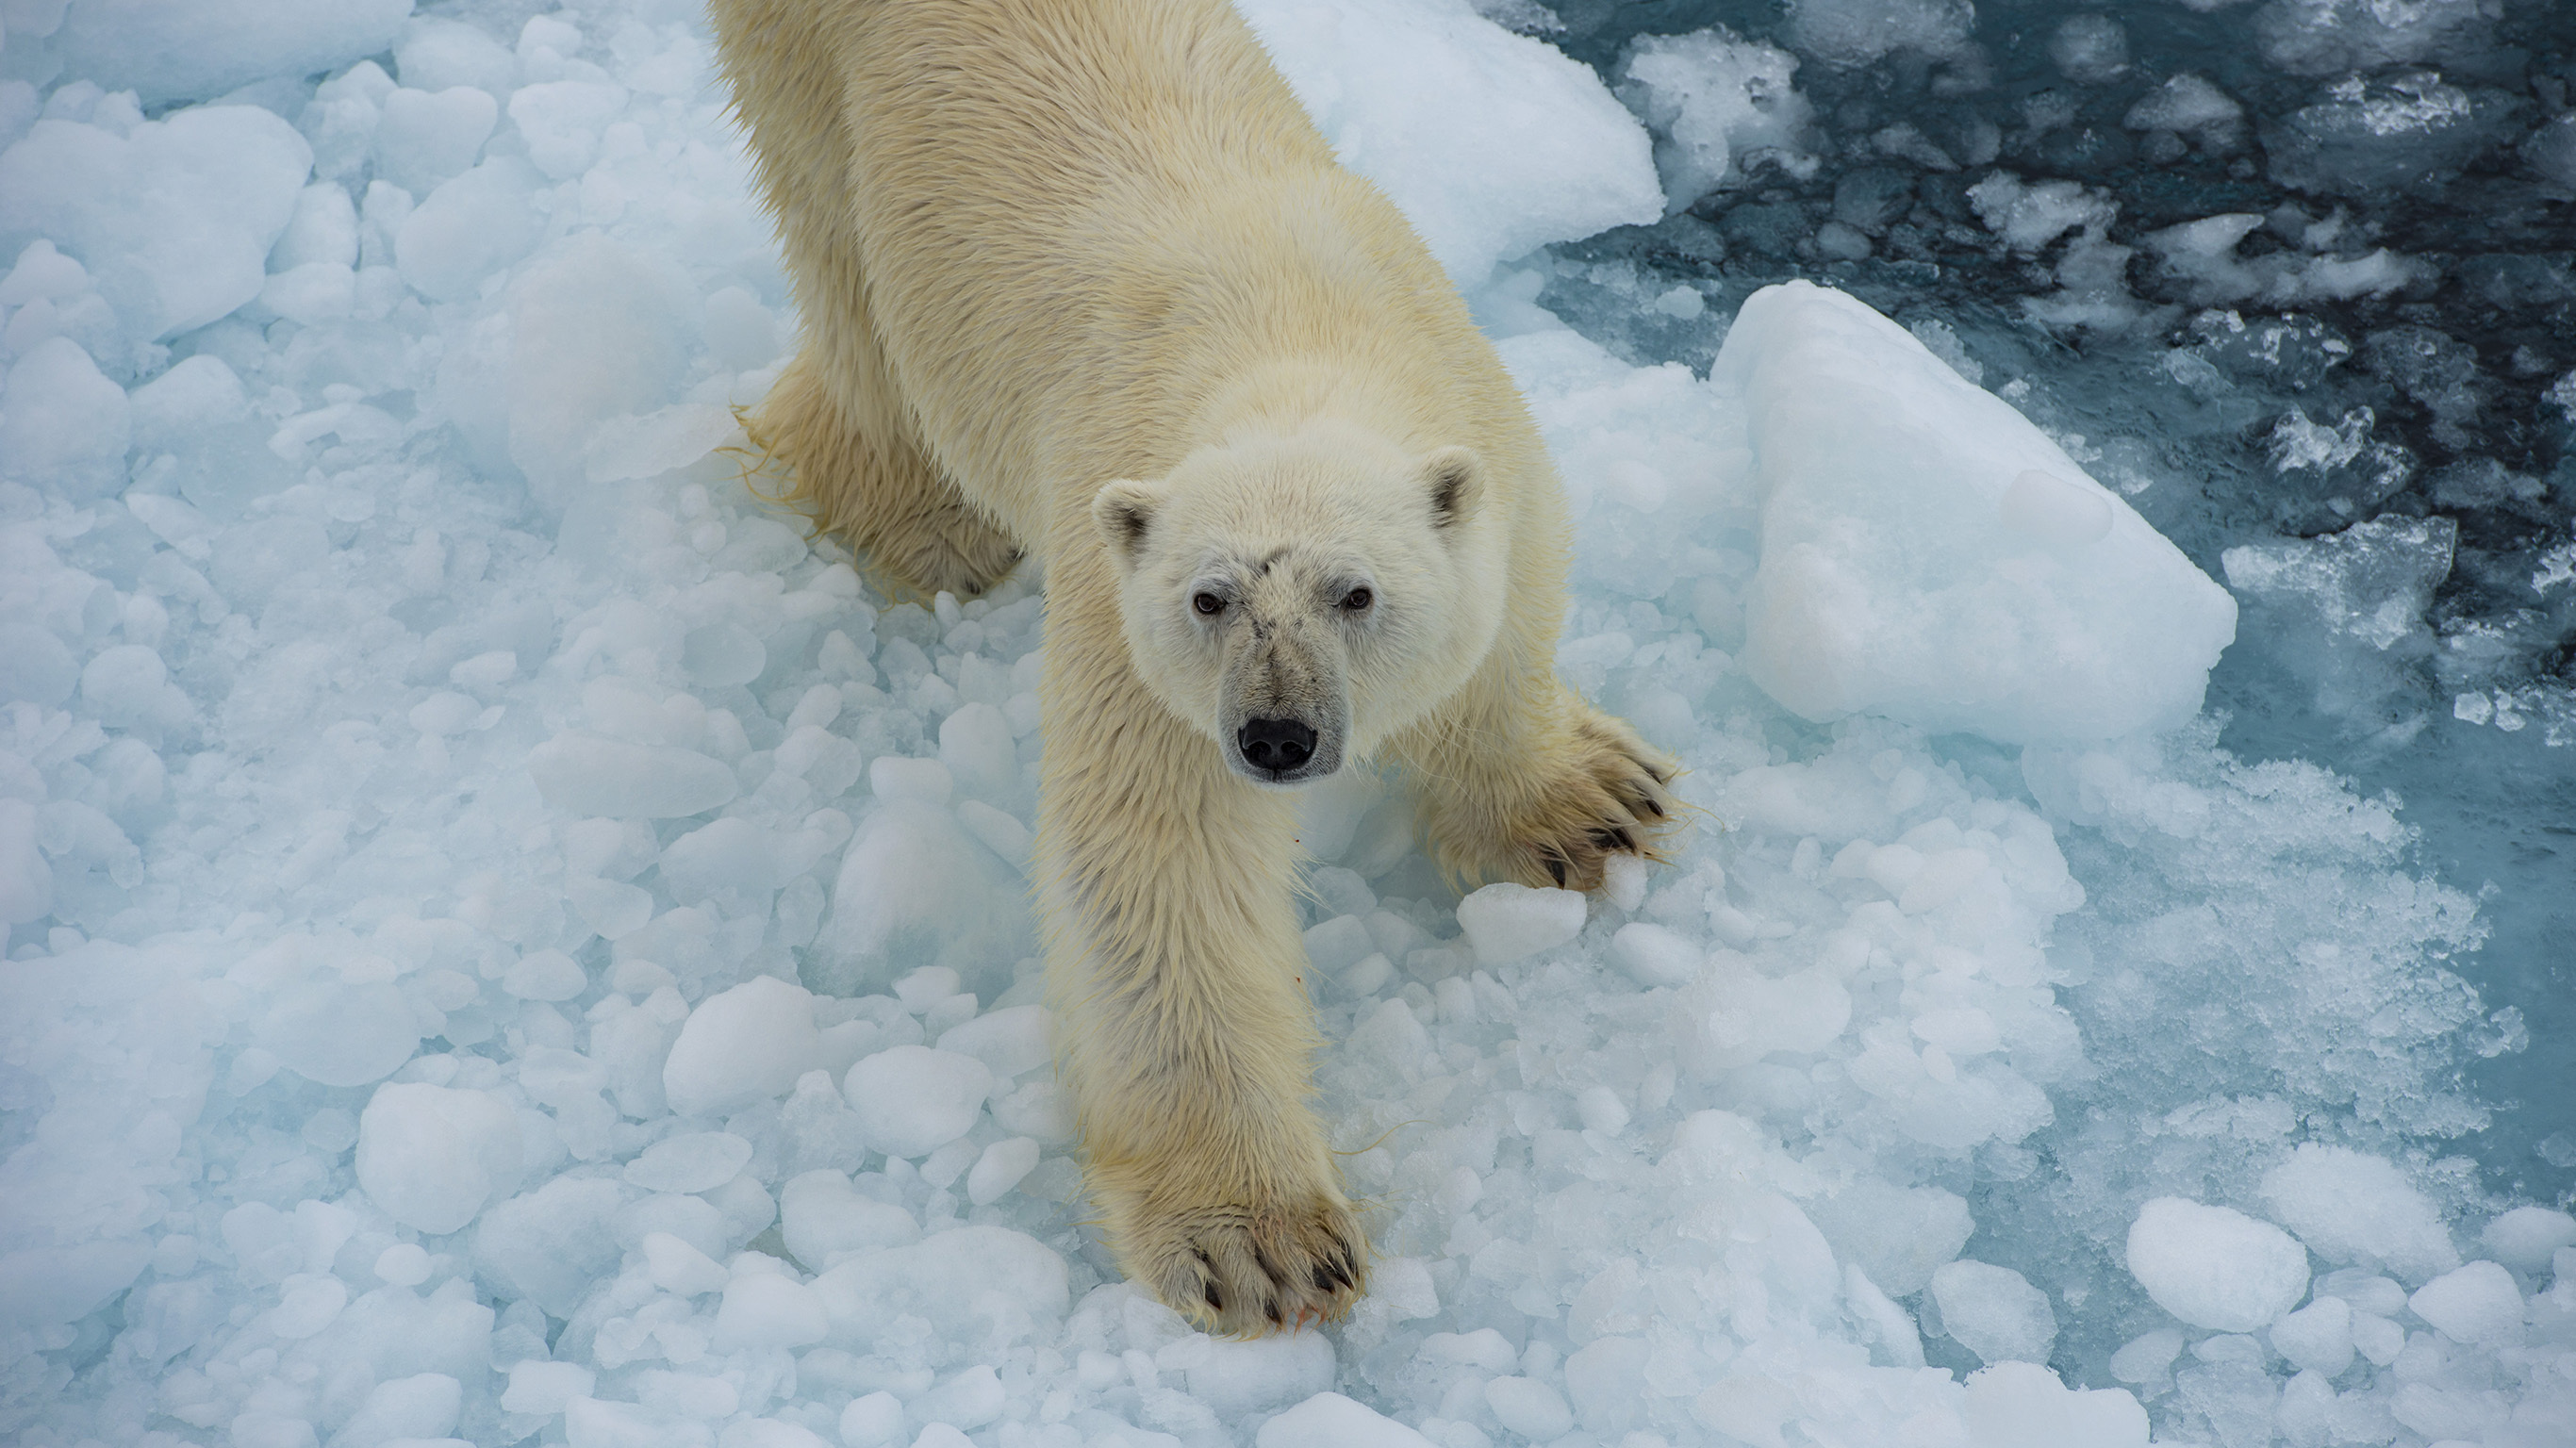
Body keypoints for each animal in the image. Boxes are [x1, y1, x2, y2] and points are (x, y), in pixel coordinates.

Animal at [708, 0, 1680, 1332]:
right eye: (1209, 598)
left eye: (1354, 593)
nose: (1277, 739)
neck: (1290, 333)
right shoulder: (1124, 598)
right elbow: (1159, 865)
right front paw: (1258, 1248)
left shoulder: (1491, 440)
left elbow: (1504, 629)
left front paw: (1589, 807)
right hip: (807, 78)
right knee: (846, 280)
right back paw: (917, 522)